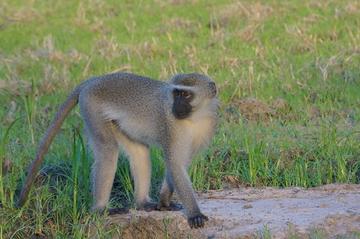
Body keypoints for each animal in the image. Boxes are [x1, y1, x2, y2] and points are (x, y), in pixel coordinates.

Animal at [18, 72, 218, 228]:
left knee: (139, 152)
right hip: (91, 107)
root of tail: (95, 80)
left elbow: (179, 164)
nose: (176, 106)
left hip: (115, 121)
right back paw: (100, 209)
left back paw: (142, 202)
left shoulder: (207, 125)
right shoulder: (171, 126)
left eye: (185, 95)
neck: (195, 117)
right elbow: (175, 163)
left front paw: (164, 201)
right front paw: (194, 213)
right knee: (108, 151)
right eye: (176, 94)